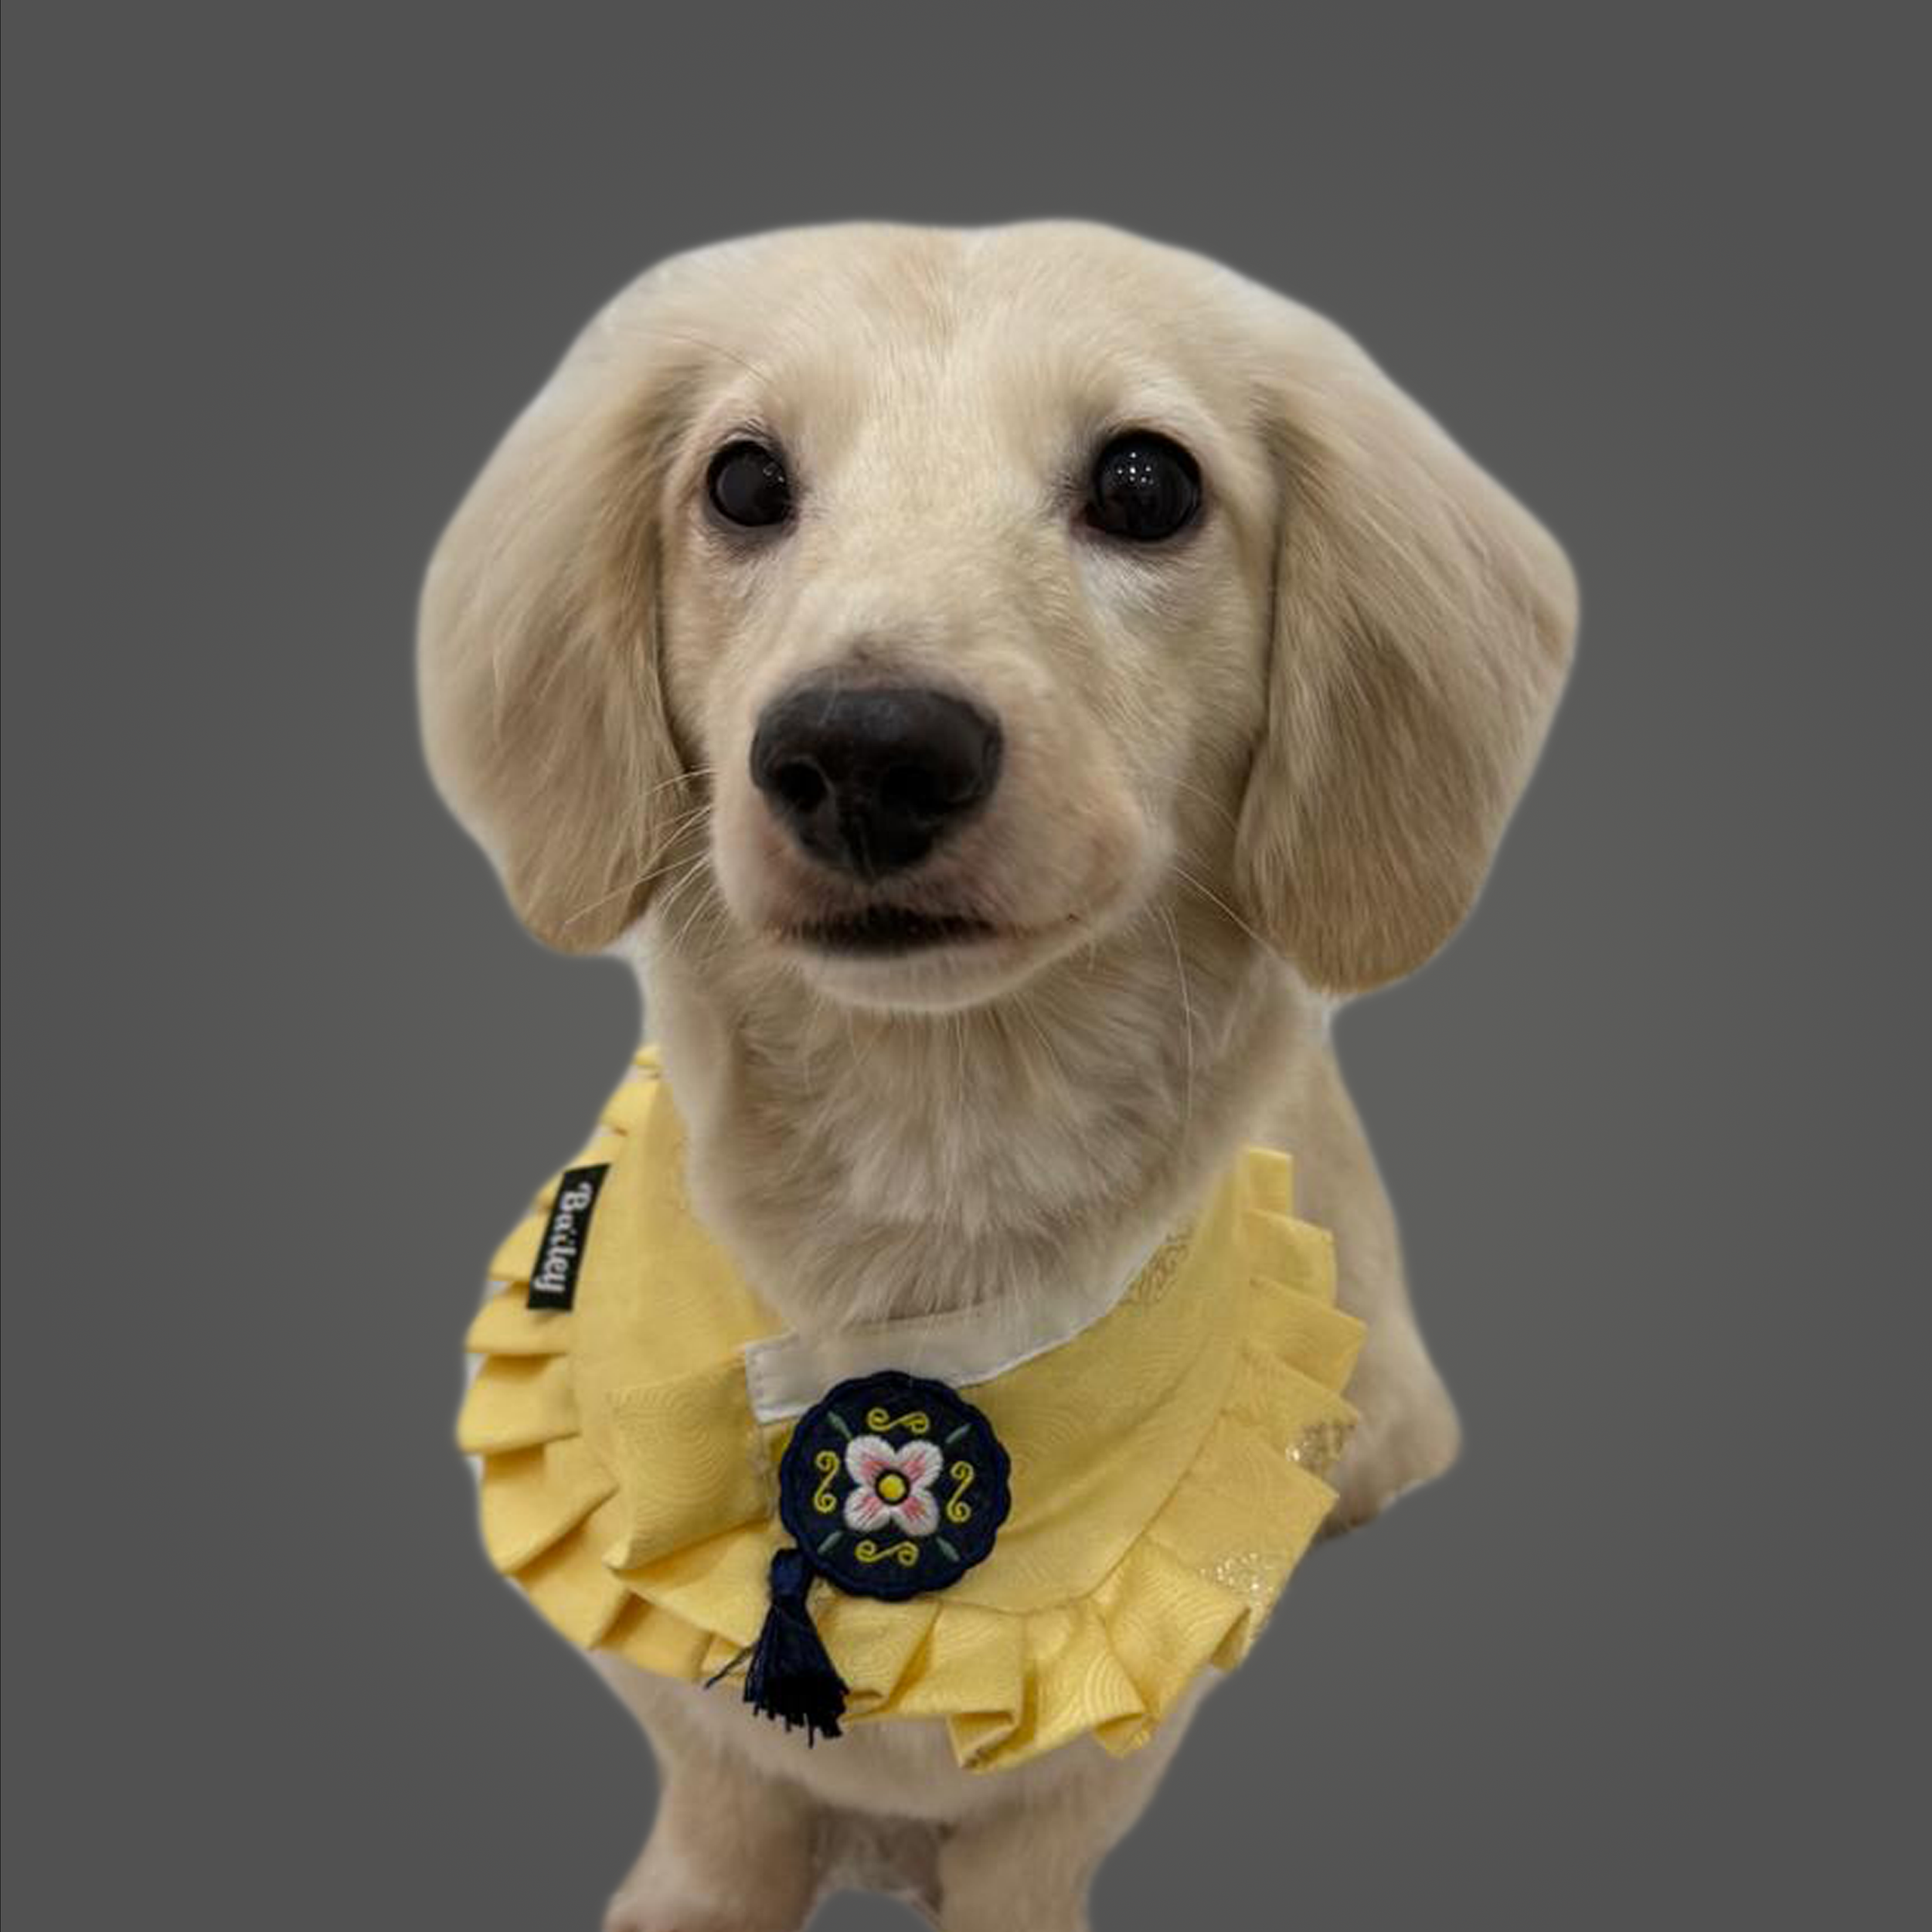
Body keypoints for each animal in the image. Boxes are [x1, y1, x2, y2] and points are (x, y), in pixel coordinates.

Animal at [419, 219, 1575, 1930]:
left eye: (1147, 482)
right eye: (742, 480)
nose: (863, 754)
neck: (930, 1195)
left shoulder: (1098, 1752)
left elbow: (1030, 1841)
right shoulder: (683, 1693)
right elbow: (726, 1798)